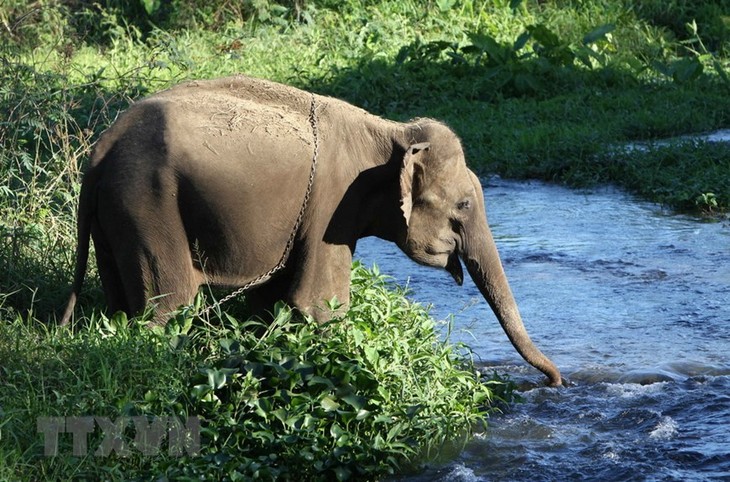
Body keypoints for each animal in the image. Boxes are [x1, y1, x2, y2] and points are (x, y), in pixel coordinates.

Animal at [61, 73, 564, 386]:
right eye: (463, 205)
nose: (557, 381)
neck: (390, 132)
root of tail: (100, 151)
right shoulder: (331, 208)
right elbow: (319, 306)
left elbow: (270, 303)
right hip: (148, 202)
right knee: (169, 306)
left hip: (117, 215)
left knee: (121, 301)